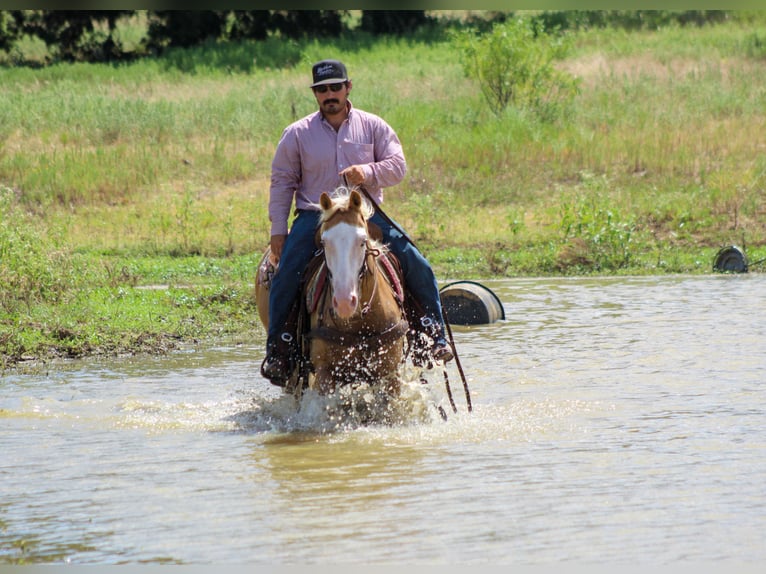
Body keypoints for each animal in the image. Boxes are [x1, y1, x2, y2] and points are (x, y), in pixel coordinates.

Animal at [255, 187, 409, 397]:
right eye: (324, 242)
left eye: (362, 241)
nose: (344, 302)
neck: (360, 322)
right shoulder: (325, 374)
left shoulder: (390, 373)